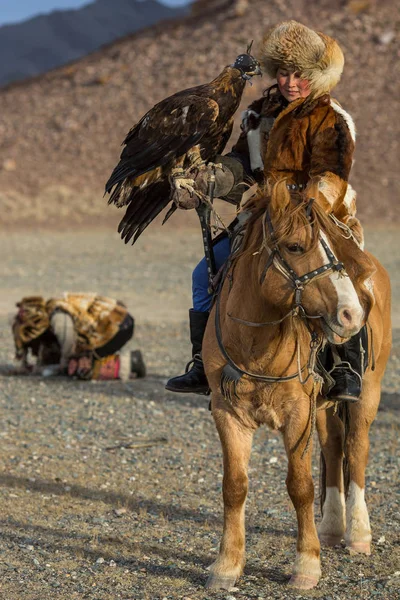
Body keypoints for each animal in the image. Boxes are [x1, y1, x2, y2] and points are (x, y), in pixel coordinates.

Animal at [203, 182, 390, 592]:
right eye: (294, 247)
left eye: (336, 245)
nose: (352, 313)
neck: (256, 345)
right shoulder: (227, 413)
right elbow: (234, 485)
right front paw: (227, 565)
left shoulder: (297, 414)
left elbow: (300, 486)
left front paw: (307, 565)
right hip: (324, 405)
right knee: (334, 447)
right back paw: (332, 527)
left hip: (367, 393)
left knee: (357, 449)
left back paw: (358, 533)